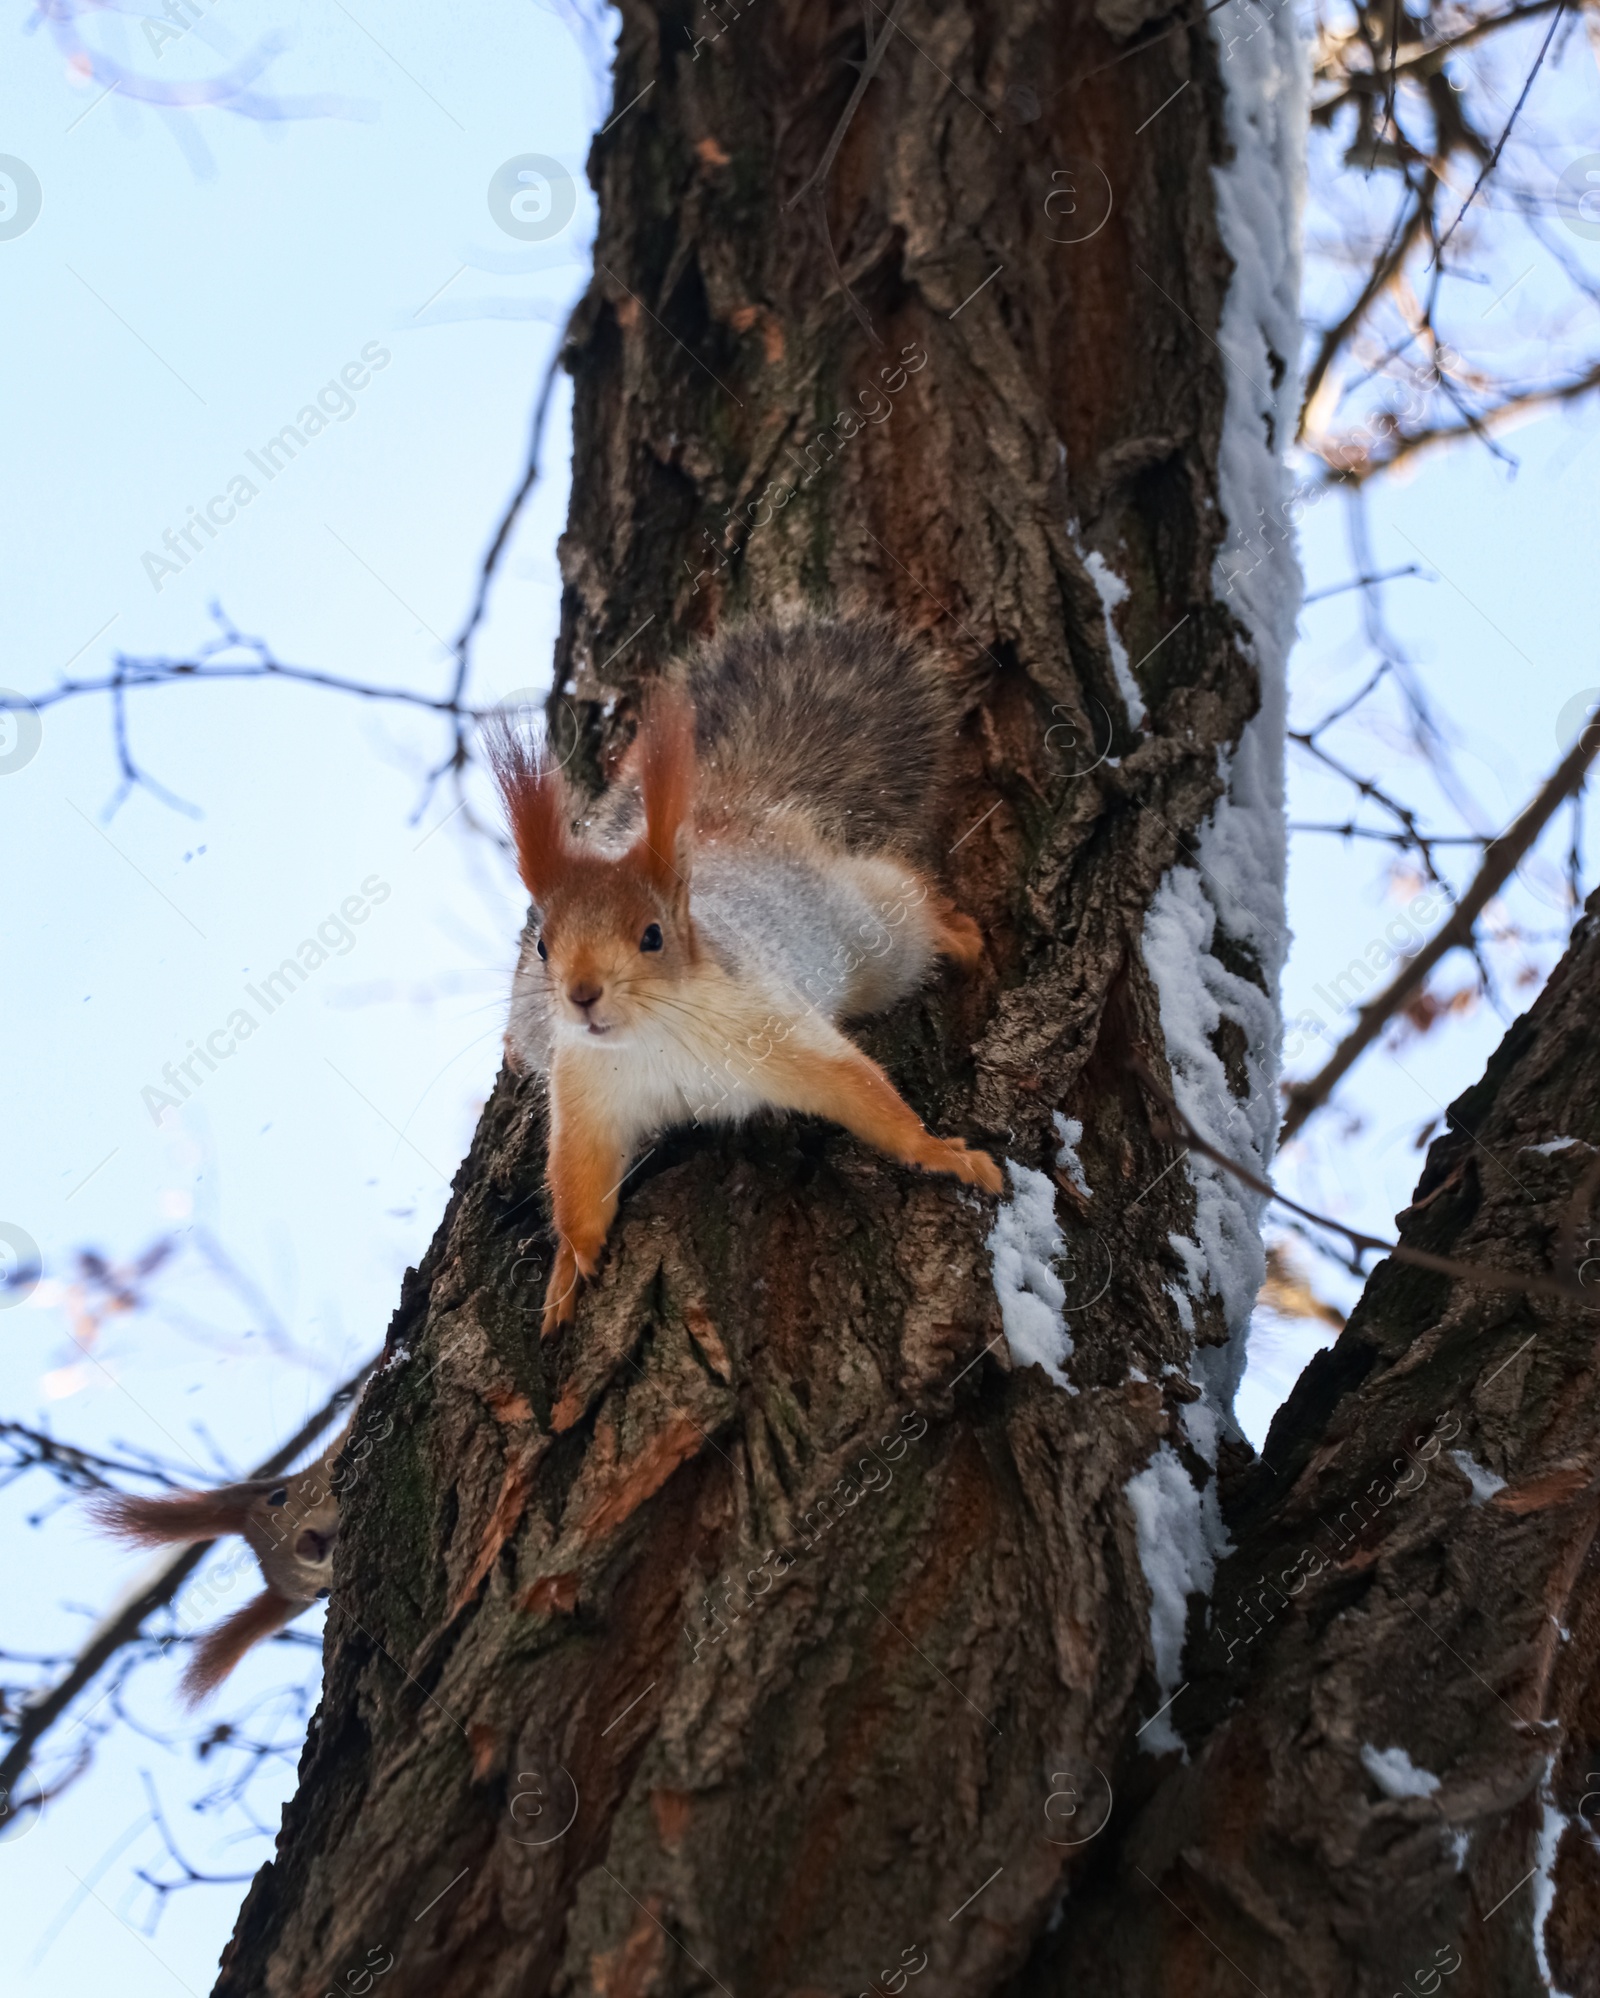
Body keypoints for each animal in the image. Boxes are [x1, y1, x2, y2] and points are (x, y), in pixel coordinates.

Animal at [483, 603, 998, 1326]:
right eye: (541, 946)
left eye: (652, 936)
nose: (581, 995)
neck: (655, 1036)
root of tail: (730, 818)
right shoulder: (586, 1094)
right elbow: (580, 1185)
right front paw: (567, 1271)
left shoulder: (771, 1027)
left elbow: (860, 1092)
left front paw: (941, 1154)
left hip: (871, 935)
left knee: (906, 903)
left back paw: (954, 934)